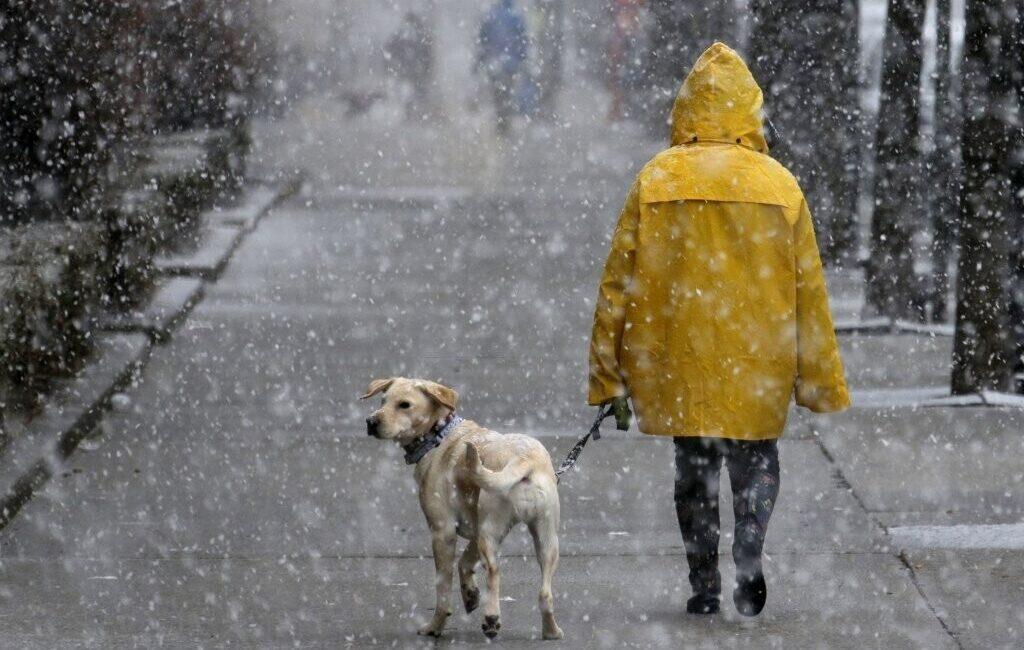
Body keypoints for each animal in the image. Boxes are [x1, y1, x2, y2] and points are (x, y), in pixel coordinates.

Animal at [364, 376, 565, 642]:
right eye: (383, 401)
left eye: (404, 405)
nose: (370, 422)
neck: (439, 434)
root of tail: (524, 459)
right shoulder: (474, 531)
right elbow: (465, 563)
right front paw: (470, 595)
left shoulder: (443, 532)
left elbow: (443, 590)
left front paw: (435, 627)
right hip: (546, 539)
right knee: (545, 593)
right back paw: (551, 631)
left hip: (491, 533)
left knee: (494, 571)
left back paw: (491, 618)